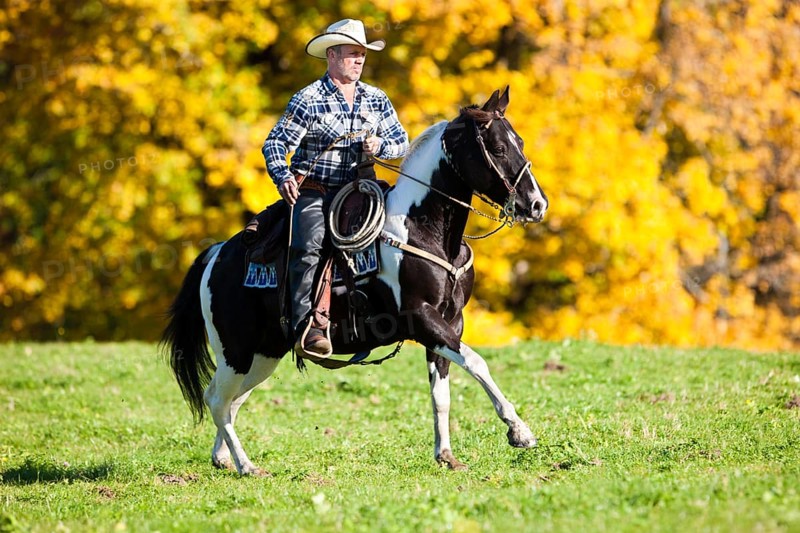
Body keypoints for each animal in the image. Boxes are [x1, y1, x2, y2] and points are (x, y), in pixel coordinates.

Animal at [162, 87, 549, 475]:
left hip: (264, 352)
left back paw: (224, 457)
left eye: (520, 142)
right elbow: (476, 362)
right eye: (497, 148)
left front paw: (446, 455)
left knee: (232, 400)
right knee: (217, 398)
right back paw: (247, 465)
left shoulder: (450, 322)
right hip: (236, 349)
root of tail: (216, 254)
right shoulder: (422, 317)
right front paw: (520, 431)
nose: (536, 204)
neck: (422, 228)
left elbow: (441, 393)